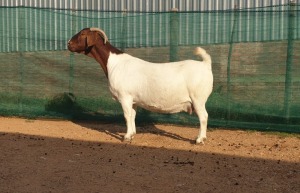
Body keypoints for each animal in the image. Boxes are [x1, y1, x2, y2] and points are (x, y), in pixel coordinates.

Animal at [68, 27, 213, 144]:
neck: (114, 63)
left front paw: (126, 137)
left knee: (204, 117)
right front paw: (132, 134)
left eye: (82, 34)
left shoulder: (125, 97)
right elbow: (132, 116)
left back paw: (199, 139)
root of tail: (205, 64)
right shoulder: (133, 100)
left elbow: (126, 116)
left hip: (198, 99)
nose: (68, 44)